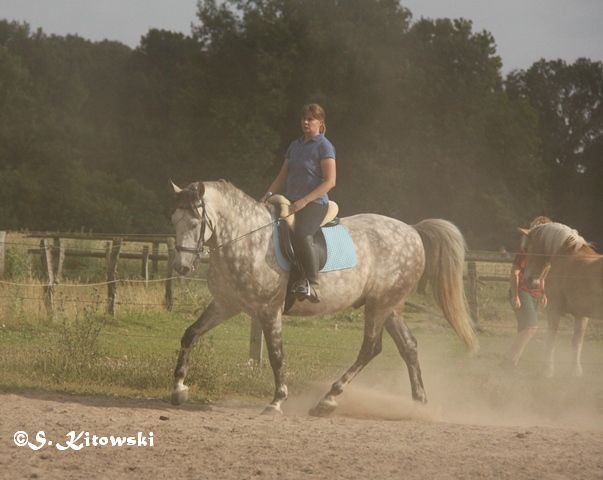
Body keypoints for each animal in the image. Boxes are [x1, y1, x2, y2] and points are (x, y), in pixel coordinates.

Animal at [169, 178, 476, 414]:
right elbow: (189, 334)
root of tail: (412, 230)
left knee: (370, 348)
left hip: (379, 306)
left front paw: (277, 401)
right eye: (174, 220)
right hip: (390, 307)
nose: (181, 267)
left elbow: (276, 354)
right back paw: (418, 403)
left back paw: (328, 399)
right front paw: (179, 389)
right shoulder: (226, 304)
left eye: (195, 222)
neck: (247, 240)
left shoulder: (269, 310)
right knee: (408, 347)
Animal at [524, 223, 603, 376]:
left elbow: (551, 339)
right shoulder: (581, 315)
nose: (529, 281)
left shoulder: (553, 310)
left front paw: (547, 370)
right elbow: (577, 342)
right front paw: (575, 371)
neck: (566, 255)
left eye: (528, 248)